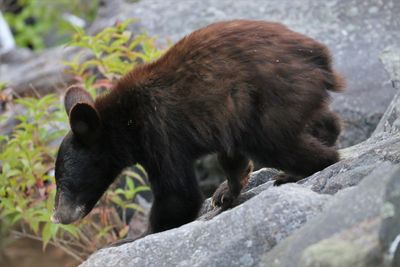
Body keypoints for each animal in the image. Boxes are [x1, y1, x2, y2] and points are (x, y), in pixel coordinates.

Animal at [50, 19, 344, 238]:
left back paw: (299, 169)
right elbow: (230, 159)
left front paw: (140, 233)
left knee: (278, 143)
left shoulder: (159, 132)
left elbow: (178, 192)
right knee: (321, 120)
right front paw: (225, 193)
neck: (125, 122)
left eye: (64, 180)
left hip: (270, 100)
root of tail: (321, 57)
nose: (58, 216)